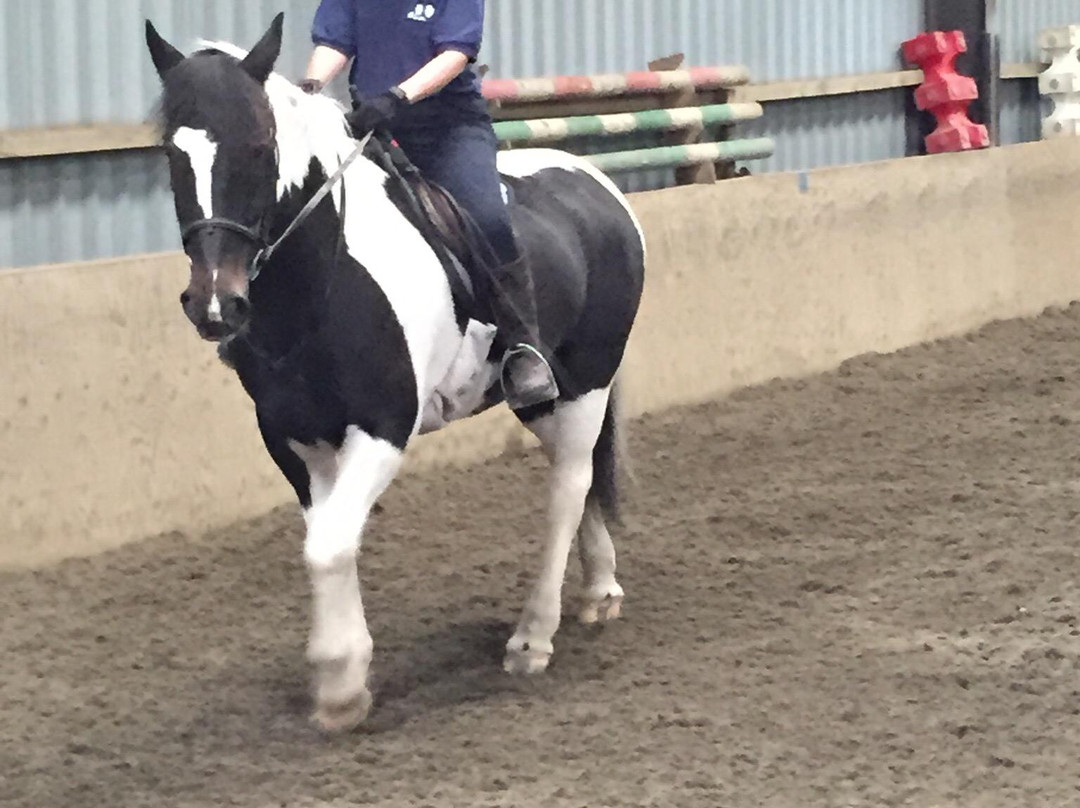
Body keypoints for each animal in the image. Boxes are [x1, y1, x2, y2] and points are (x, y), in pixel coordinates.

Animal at [147, 14, 643, 730]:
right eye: (171, 153)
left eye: (261, 144)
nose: (216, 303)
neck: (324, 281)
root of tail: (598, 184)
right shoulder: (295, 440)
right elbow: (328, 538)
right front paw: (345, 672)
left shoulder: (381, 429)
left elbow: (329, 544)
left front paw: (339, 686)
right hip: (543, 399)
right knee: (579, 481)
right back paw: (600, 590)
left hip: (586, 385)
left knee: (567, 488)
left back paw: (531, 639)